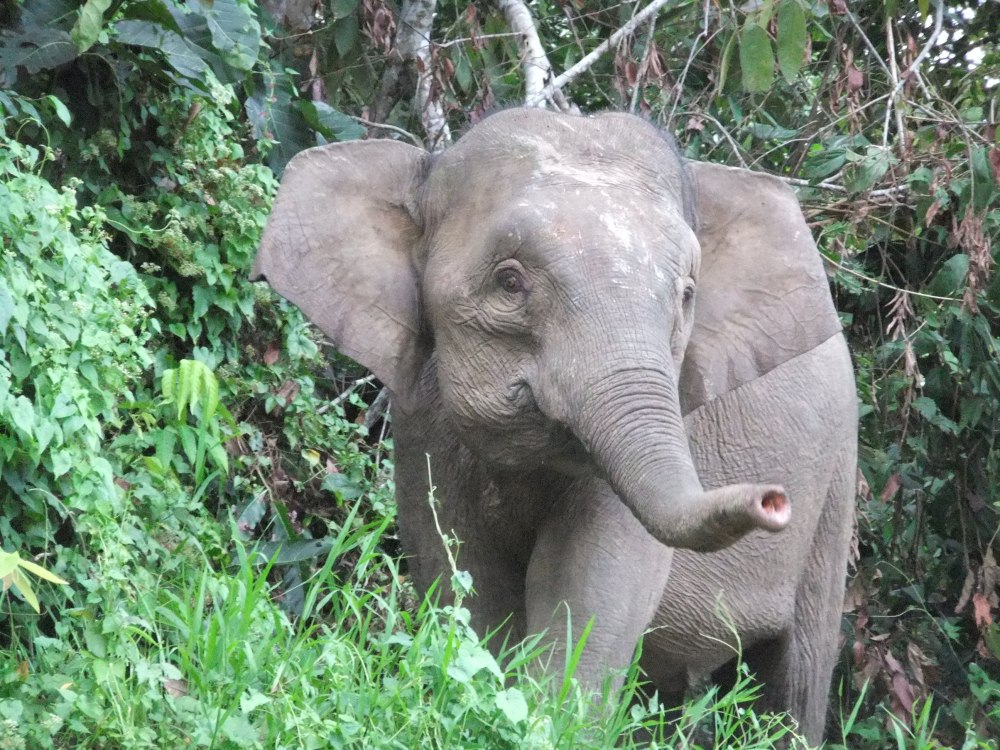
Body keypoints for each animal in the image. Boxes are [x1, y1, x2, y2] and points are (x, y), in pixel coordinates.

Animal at [254, 107, 856, 748]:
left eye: (687, 295)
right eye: (509, 283)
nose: (772, 501)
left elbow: (586, 592)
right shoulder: (420, 425)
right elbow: (459, 572)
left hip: (835, 489)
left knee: (796, 679)